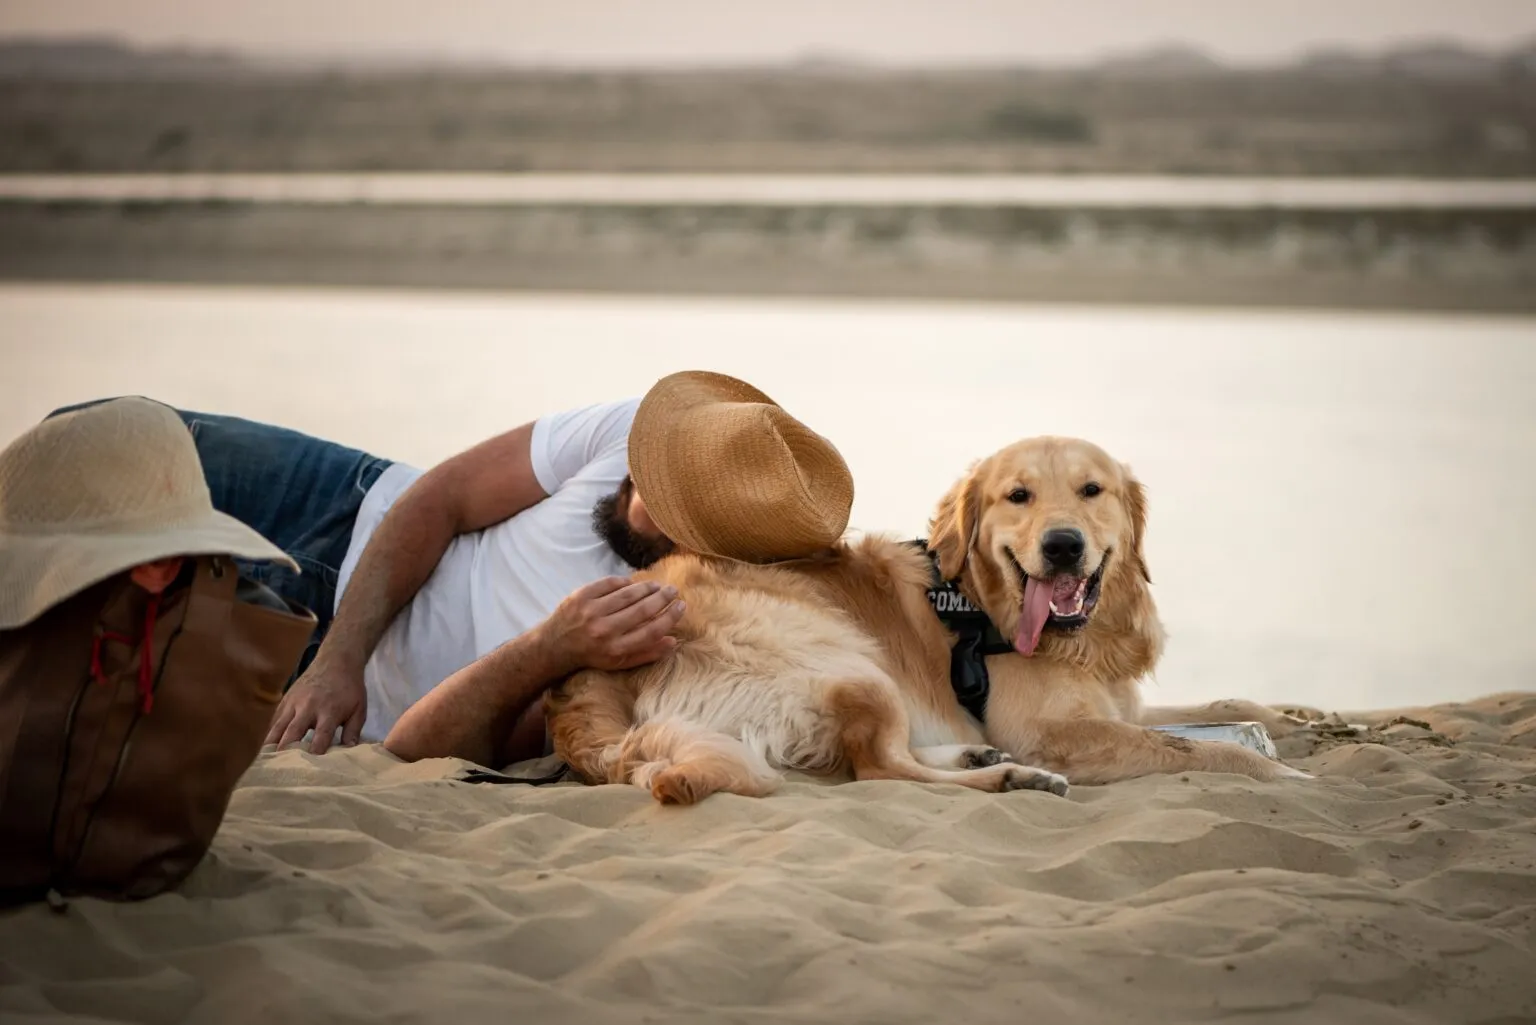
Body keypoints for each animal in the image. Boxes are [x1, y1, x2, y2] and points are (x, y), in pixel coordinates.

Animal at [546, 433, 1314, 799]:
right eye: (1017, 496)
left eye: (1092, 491)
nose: (1063, 546)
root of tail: (586, 677)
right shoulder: (1052, 730)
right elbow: (1198, 748)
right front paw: (1284, 775)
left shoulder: (1114, 703)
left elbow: (1225, 704)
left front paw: (1289, 721)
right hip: (848, 658)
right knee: (876, 767)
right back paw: (1009, 778)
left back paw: (977, 756)